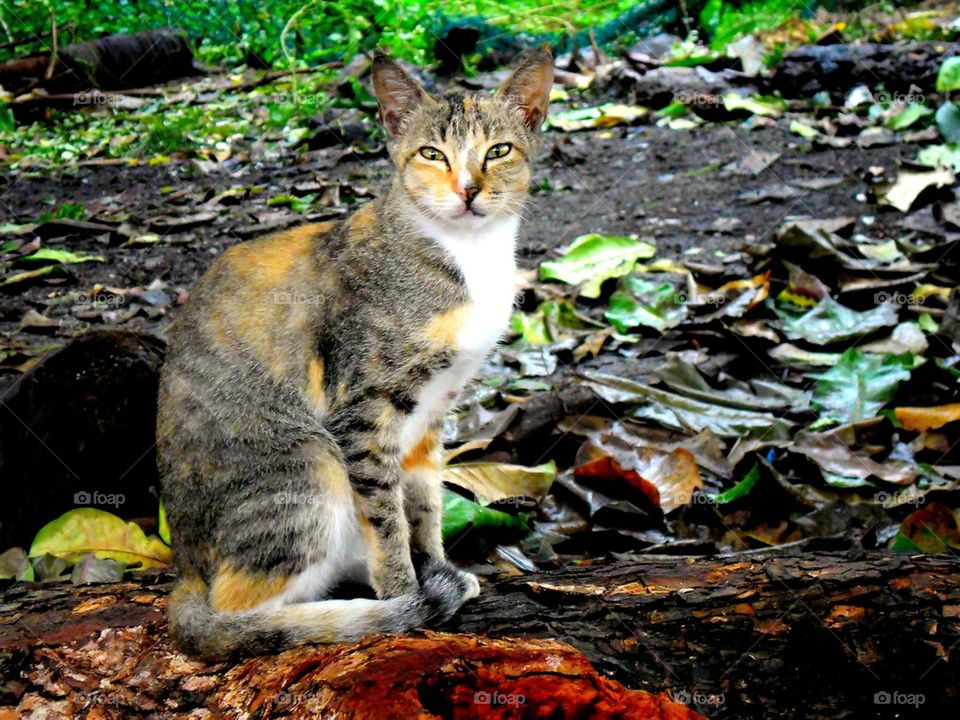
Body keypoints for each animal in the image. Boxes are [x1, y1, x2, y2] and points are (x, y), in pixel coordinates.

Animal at [158, 47, 556, 660]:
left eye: (499, 150)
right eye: (432, 154)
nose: (468, 189)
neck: (465, 256)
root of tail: (185, 570)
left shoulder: (432, 412)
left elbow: (423, 502)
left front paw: (432, 564)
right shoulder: (364, 411)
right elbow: (384, 516)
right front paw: (405, 596)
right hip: (309, 464)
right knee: (239, 613)